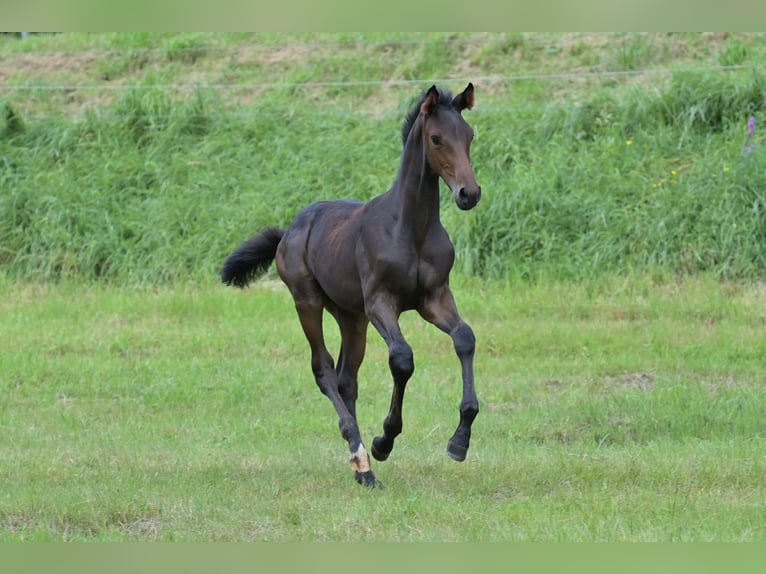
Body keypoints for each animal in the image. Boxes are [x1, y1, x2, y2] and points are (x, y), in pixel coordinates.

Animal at [222, 83, 484, 488]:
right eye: (437, 139)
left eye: (469, 136)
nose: (468, 194)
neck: (410, 228)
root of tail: (289, 231)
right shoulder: (380, 303)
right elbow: (402, 358)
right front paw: (384, 440)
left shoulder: (435, 299)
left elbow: (464, 338)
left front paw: (459, 441)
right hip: (308, 302)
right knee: (324, 369)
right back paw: (362, 456)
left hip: (350, 315)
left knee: (347, 378)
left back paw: (362, 470)